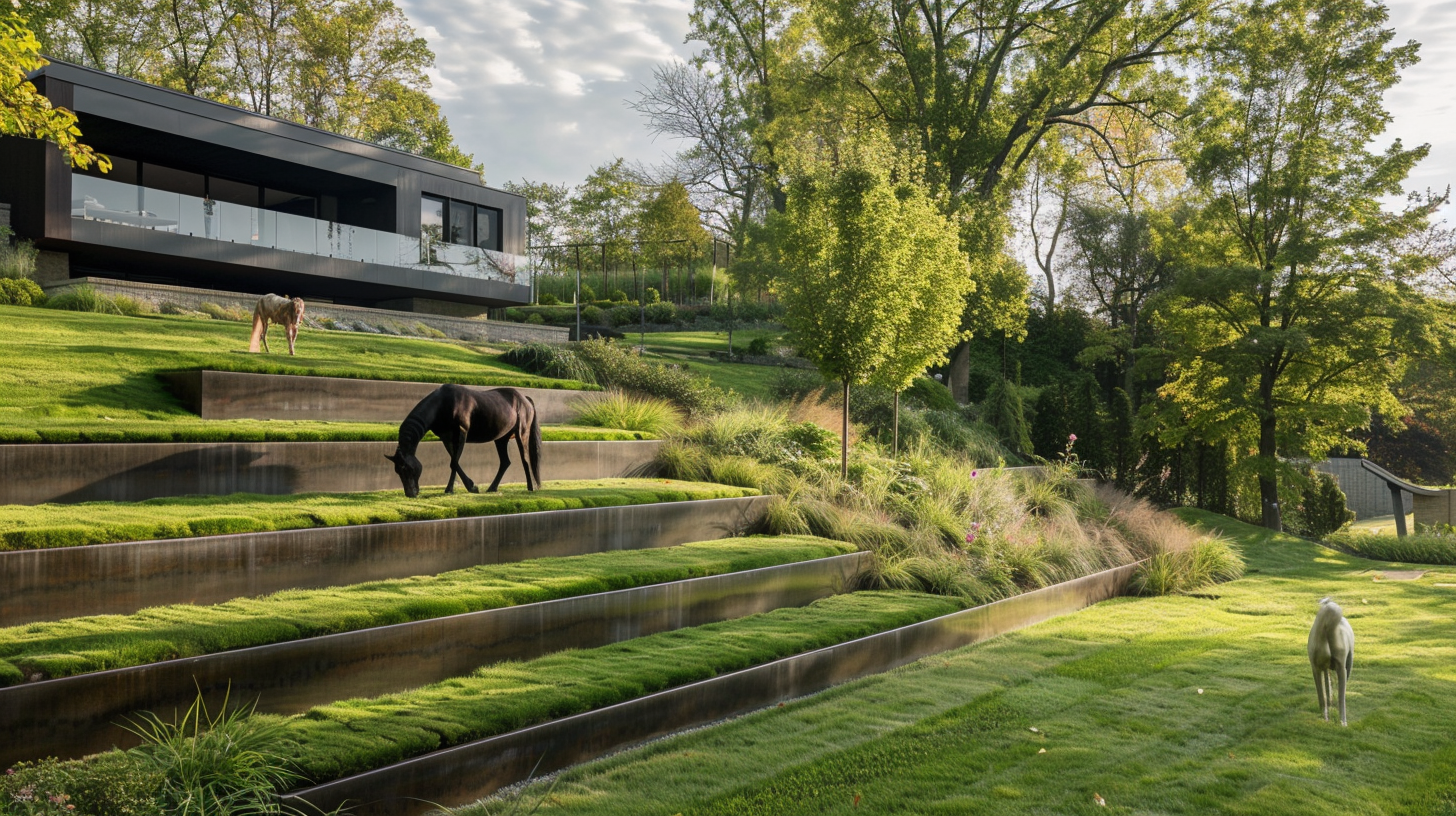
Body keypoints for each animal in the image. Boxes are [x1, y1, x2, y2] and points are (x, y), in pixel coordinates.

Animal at [384, 384, 544, 498]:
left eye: (408, 468)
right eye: (397, 470)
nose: (410, 494)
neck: (441, 405)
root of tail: (526, 399)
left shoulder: (462, 431)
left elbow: (454, 462)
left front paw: (471, 487)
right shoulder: (447, 437)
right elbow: (454, 461)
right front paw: (453, 488)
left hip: (521, 432)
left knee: (525, 459)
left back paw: (530, 487)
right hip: (501, 438)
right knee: (505, 462)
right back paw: (492, 488)